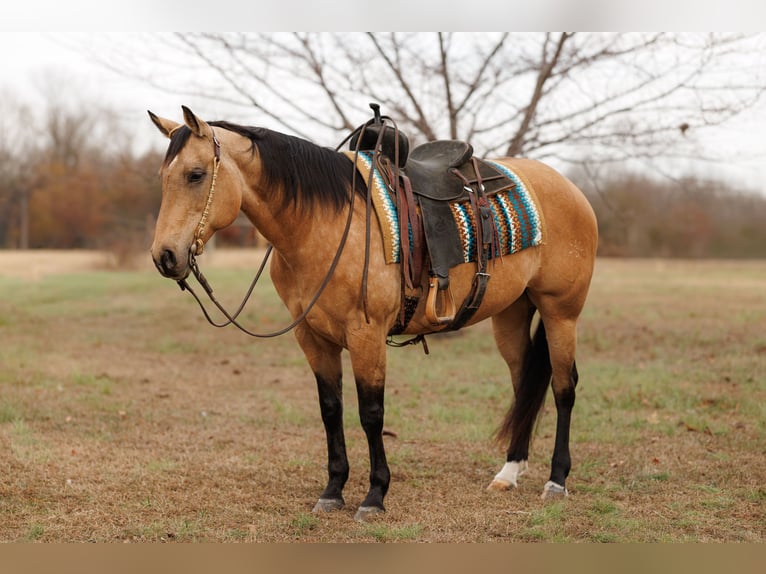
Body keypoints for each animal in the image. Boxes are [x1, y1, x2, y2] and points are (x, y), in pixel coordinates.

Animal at [147, 106, 598, 522]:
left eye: (195, 174)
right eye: (163, 177)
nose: (165, 257)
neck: (322, 223)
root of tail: (569, 189)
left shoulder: (366, 335)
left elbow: (371, 414)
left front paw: (374, 495)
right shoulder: (312, 337)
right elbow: (331, 410)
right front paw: (333, 490)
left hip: (561, 313)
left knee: (564, 387)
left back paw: (557, 480)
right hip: (511, 314)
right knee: (525, 384)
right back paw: (509, 472)